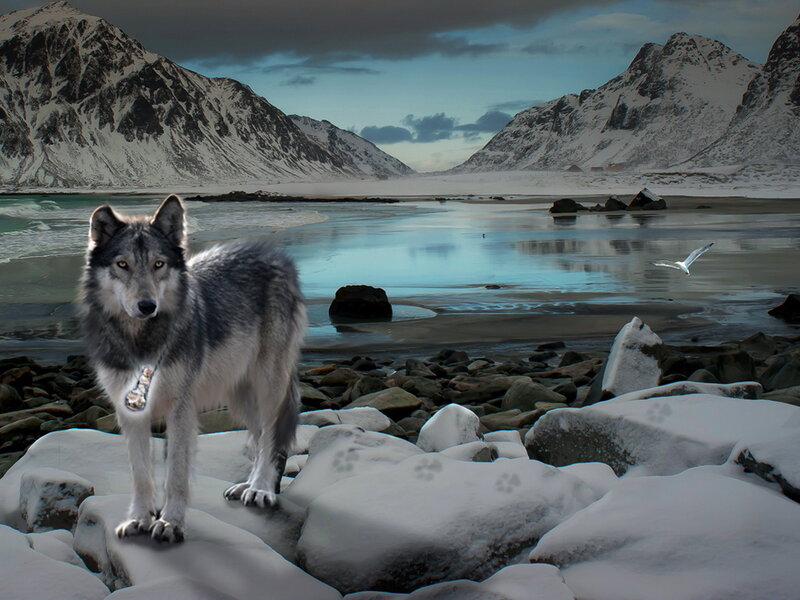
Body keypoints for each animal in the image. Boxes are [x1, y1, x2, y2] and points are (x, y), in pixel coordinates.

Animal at [79, 195, 306, 543]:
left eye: (158, 264)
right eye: (123, 264)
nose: (147, 306)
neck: (143, 343)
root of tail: (276, 254)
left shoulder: (181, 410)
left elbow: (176, 472)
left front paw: (170, 523)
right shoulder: (130, 413)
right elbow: (141, 474)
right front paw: (139, 519)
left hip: (268, 387)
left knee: (270, 438)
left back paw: (261, 489)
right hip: (239, 395)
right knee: (258, 440)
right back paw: (249, 484)